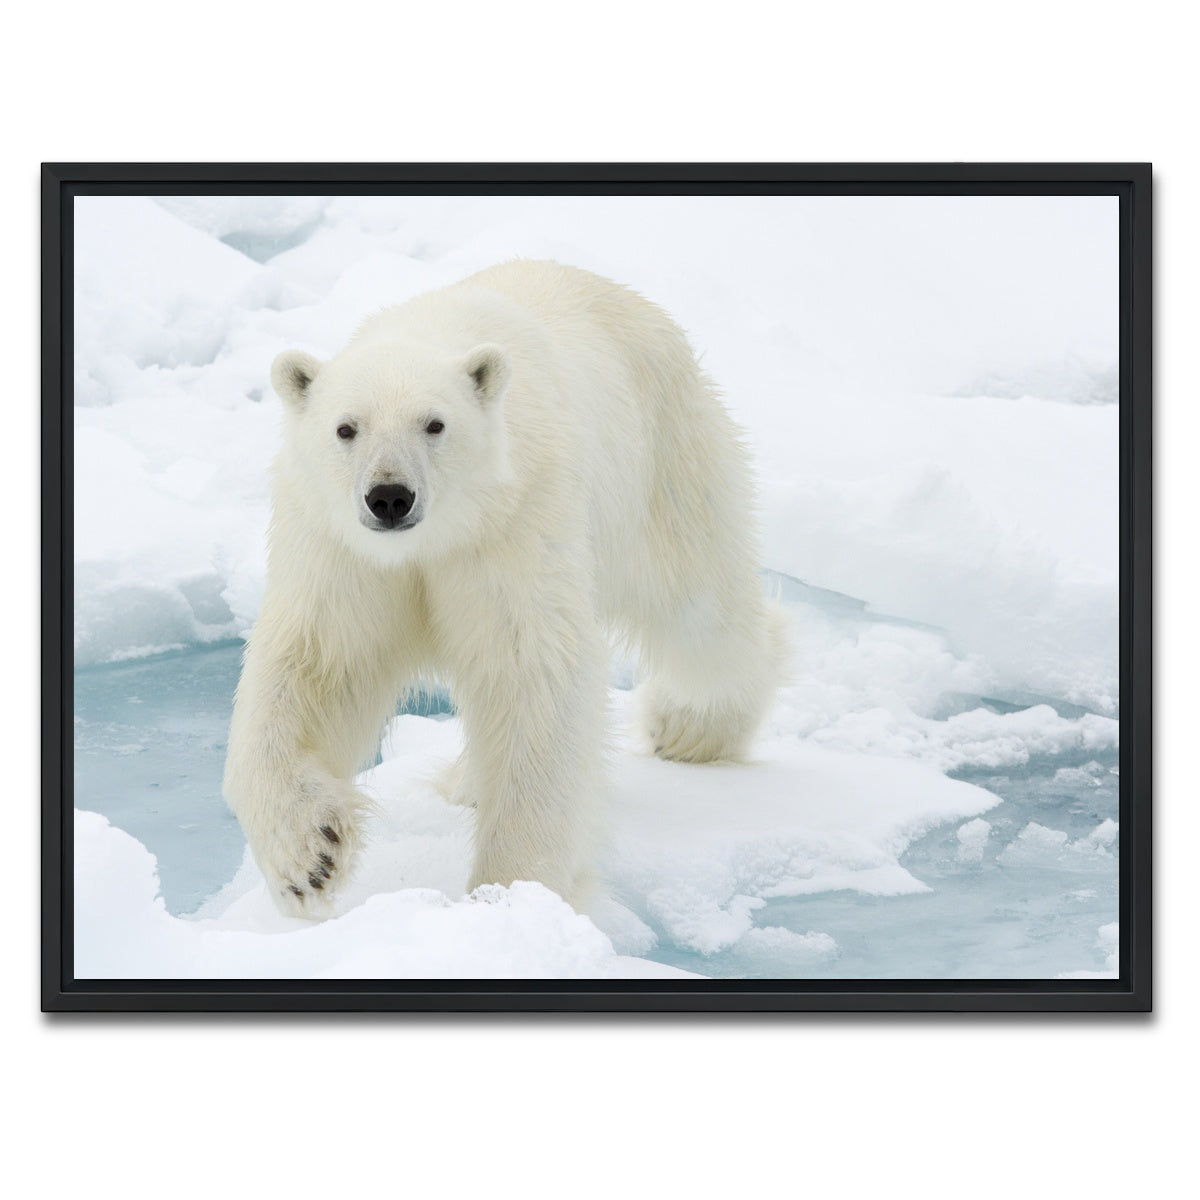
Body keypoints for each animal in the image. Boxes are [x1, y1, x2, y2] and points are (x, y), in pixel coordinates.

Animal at [223, 259, 786, 917]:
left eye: (435, 423)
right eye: (345, 428)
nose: (389, 496)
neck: (434, 539)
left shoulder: (514, 521)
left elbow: (530, 672)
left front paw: (512, 891)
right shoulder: (341, 550)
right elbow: (316, 664)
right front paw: (309, 856)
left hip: (663, 459)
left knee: (699, 609)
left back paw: (689, 728)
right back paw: (469, 780)